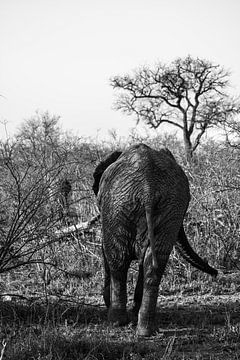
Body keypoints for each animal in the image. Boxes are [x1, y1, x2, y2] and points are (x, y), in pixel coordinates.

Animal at [92, 142, 218, 336]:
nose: (216, 273)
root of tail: (147, 188)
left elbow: (106, 251)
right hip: (168, 208)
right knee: (153, 262)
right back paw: (145, 330)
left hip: (118, 205)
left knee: (118, 259)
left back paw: (116, 322)